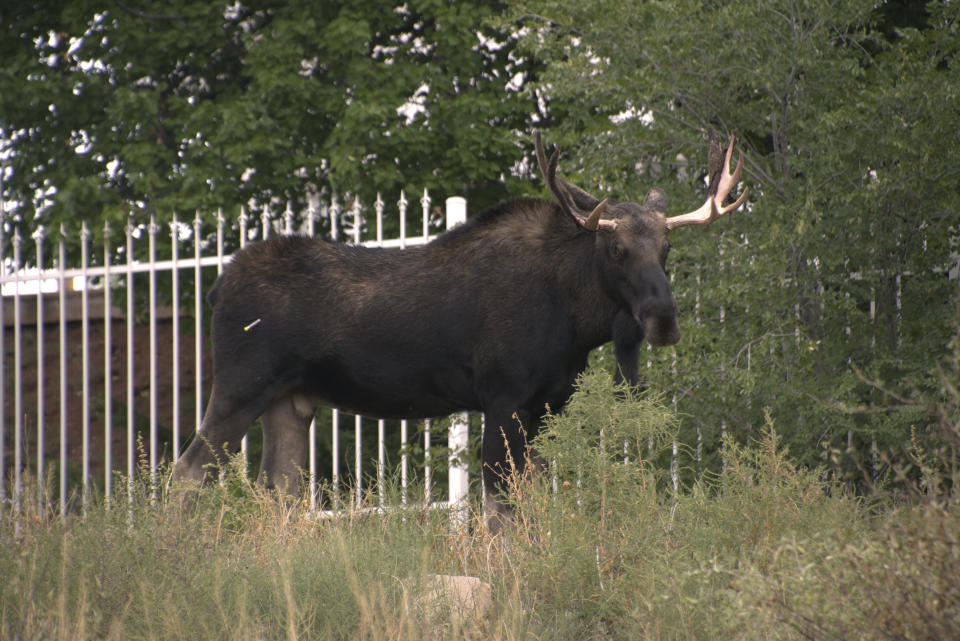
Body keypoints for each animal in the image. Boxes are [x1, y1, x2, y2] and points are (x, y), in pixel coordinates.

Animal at [172, 127, 752, 524]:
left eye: (667, 247)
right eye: (616, 249)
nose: (663, 319)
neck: (576, 322)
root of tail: (216, 288)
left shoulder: (545, 406)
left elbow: (526, 503)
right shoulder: (503, 399)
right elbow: (497, 511)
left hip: (290, 402)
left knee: (278, 492)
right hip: (240, 386)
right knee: (188, 473)